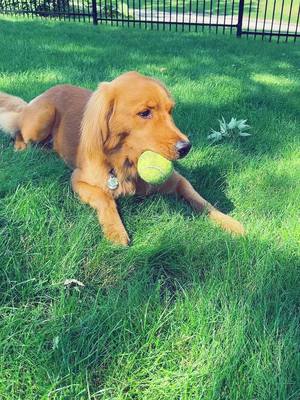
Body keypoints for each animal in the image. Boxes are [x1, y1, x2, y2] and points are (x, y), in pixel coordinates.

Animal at [0, 72, 244, 245]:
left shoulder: (177, 180)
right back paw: (24, 148)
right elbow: (104, 198)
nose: (186, 147)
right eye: (145, 113)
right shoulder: (78, 179)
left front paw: (229, 222)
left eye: (171, 111)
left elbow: (201, 200)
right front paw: (116, 231)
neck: (127, 162)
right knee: (18, 131)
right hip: (42, 118)